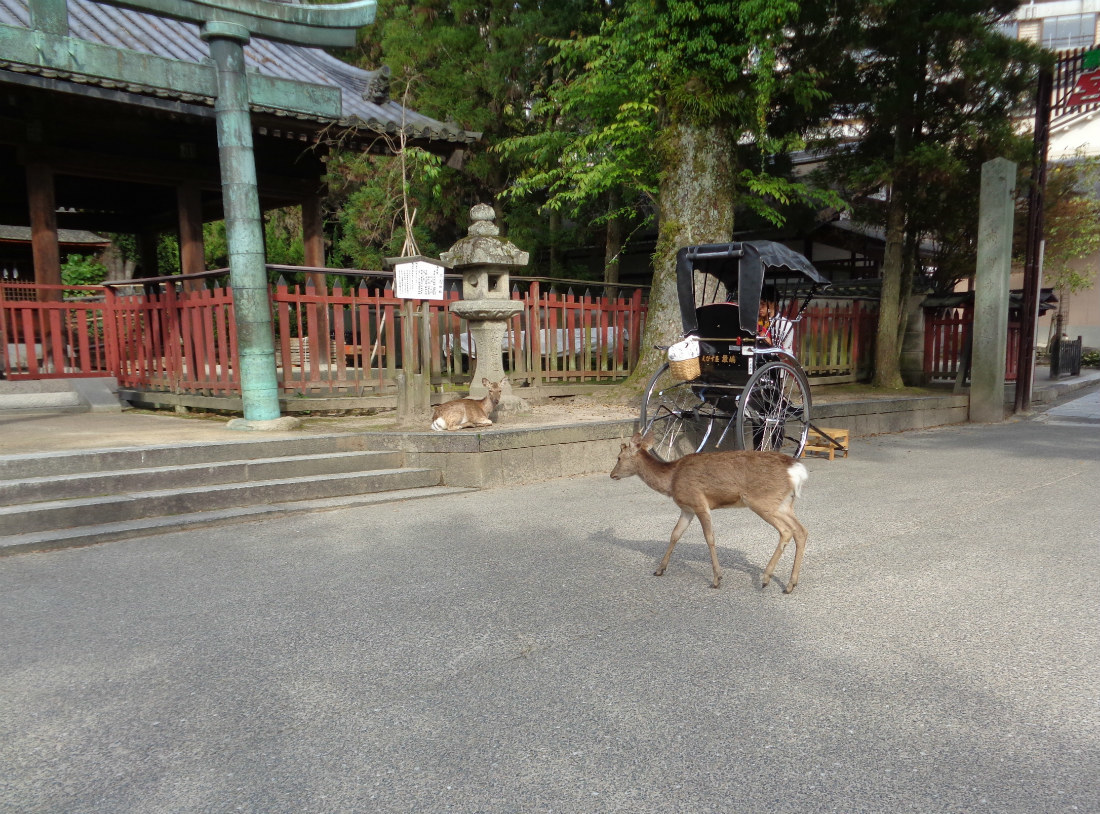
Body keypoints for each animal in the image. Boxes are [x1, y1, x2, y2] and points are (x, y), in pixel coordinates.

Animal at [611, 433, 809, 589]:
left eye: (619, 457)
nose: (612, 474)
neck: (671, 480)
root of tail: (796, 471)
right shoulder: (687, 509)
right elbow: (675, 534)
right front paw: (659, 569)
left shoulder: (699, 503)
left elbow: (709, 538)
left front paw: (717, 578)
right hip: (784, 504)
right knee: (801, 530)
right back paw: (791, 584)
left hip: (763, 501)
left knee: (786, 531)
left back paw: (767, 578)